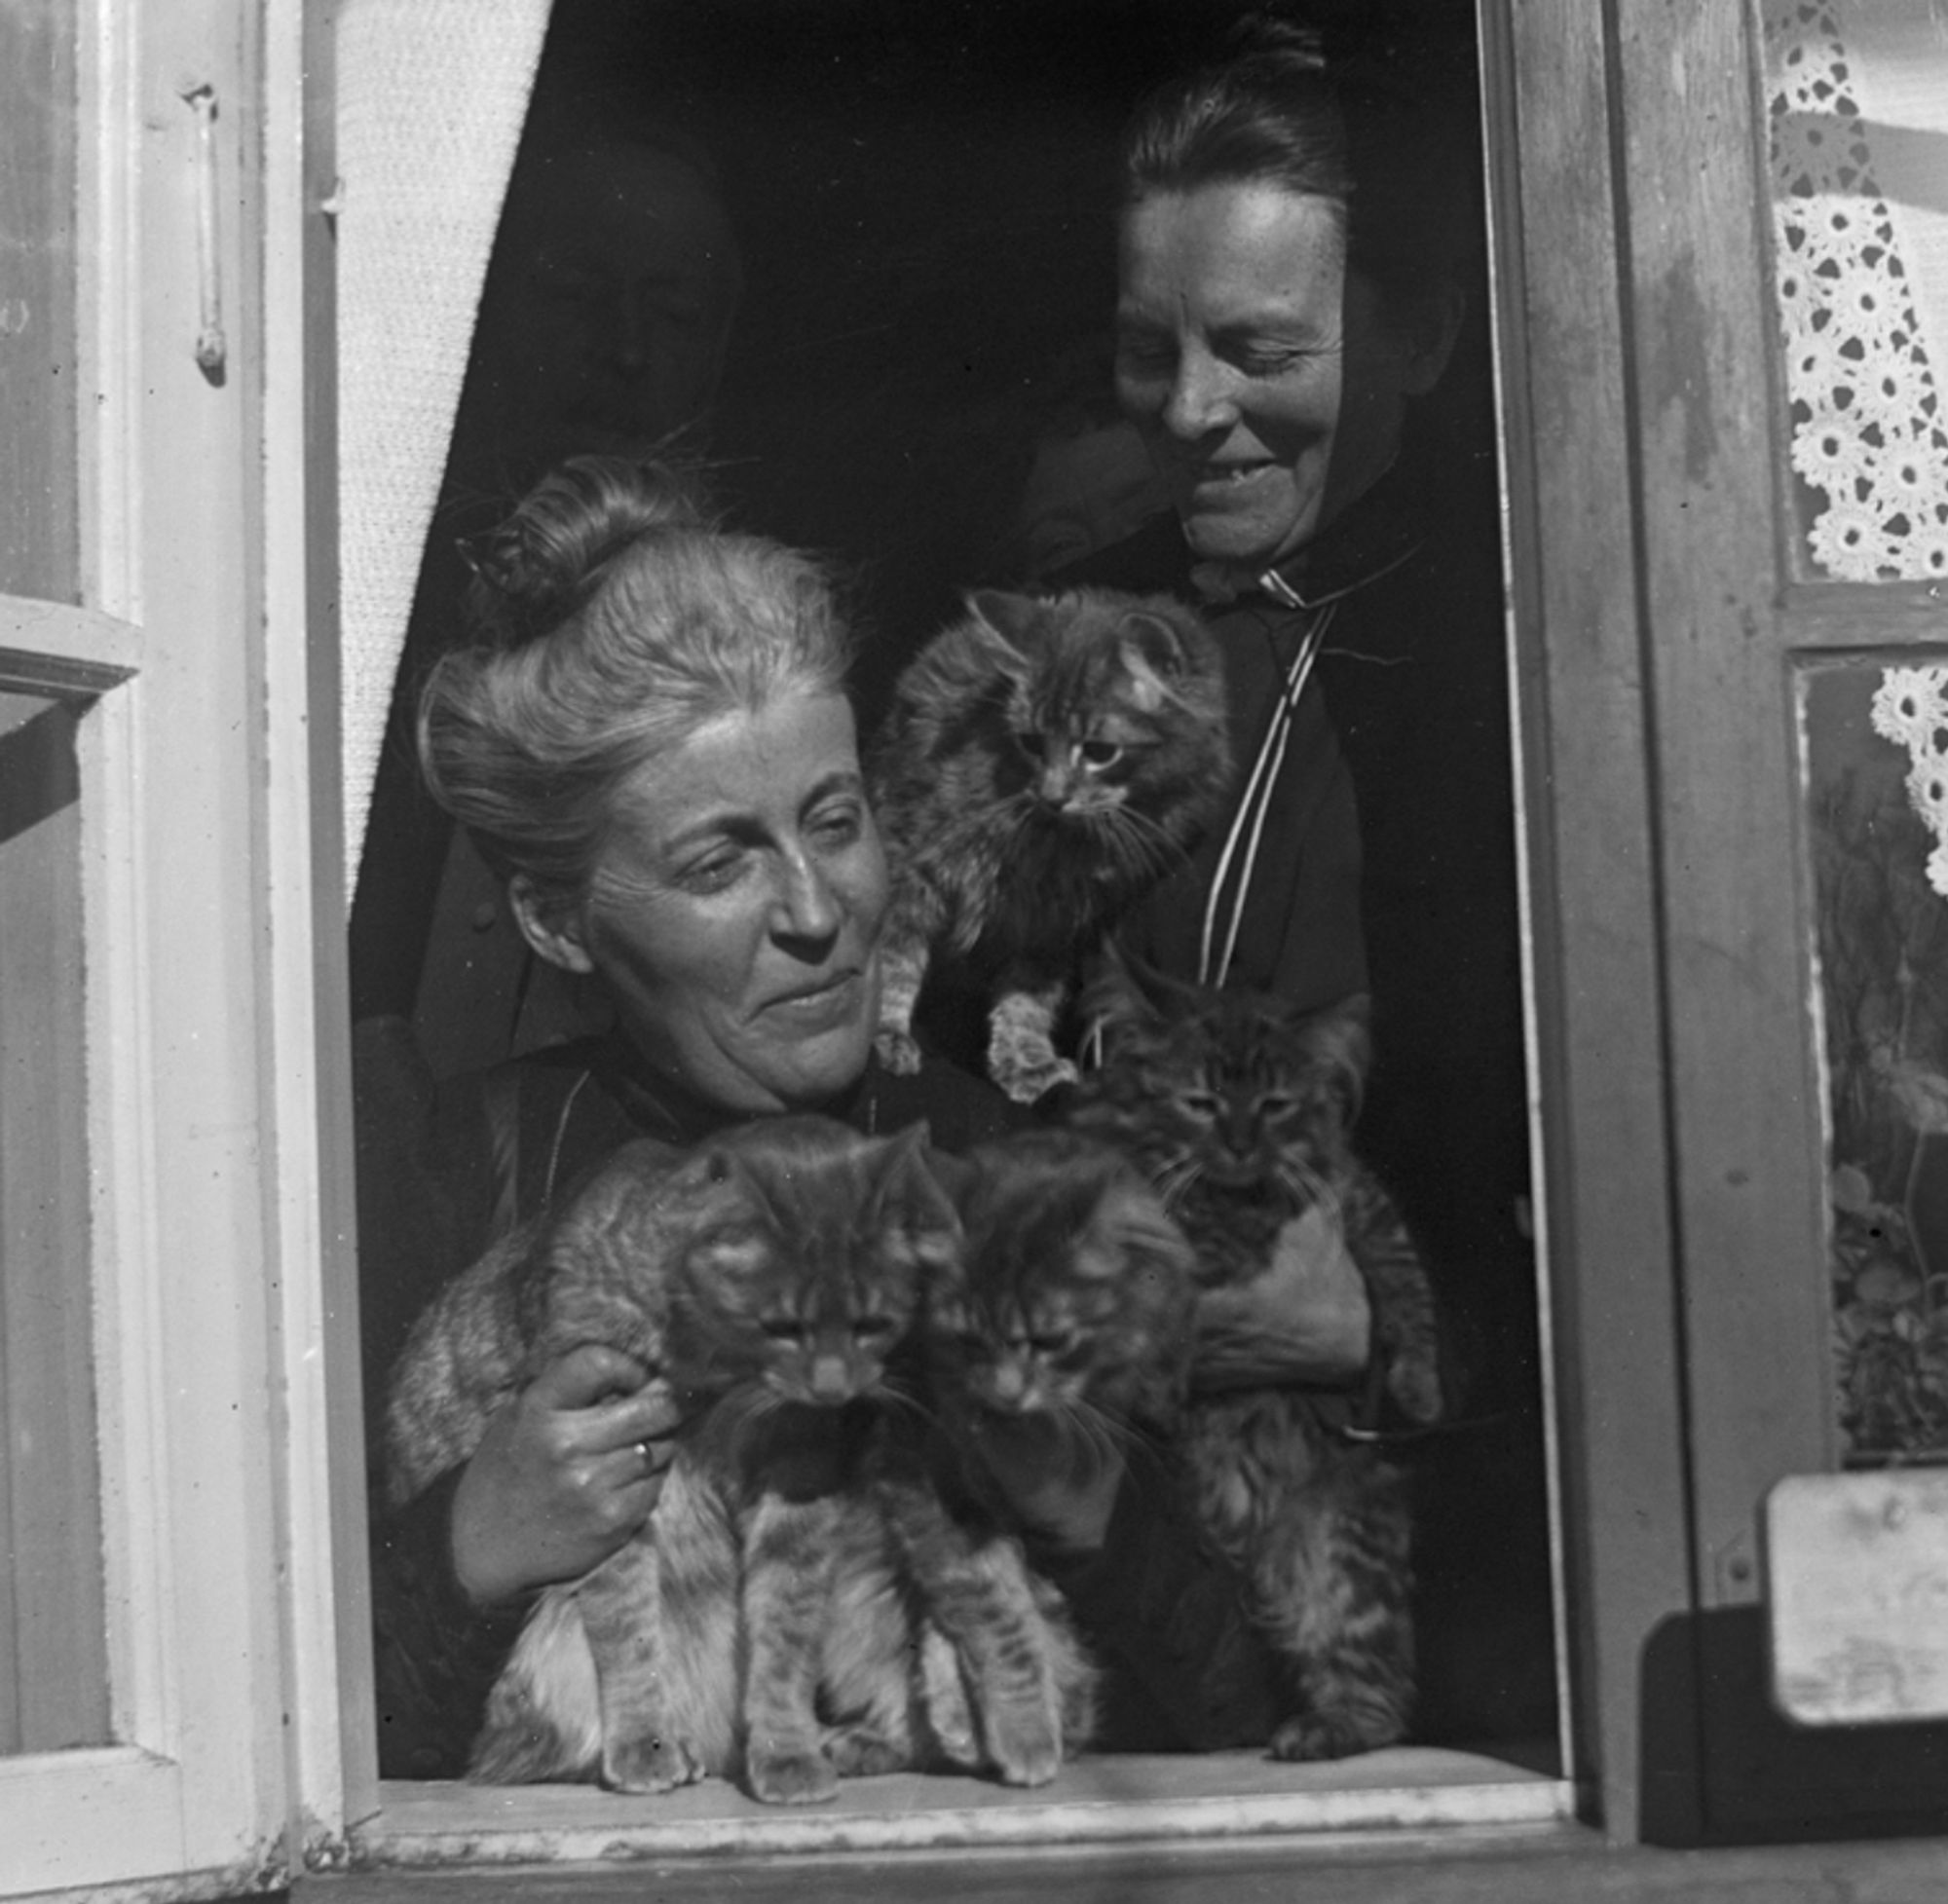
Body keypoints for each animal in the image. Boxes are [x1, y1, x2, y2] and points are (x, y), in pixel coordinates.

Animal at [384, 1113, 1099, 1799]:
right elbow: (629, 1634)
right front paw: (644, 1743)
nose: (837, 1383)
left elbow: (786, 1633)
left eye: (872, 1320)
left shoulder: (804, 1482)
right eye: (783, 1324)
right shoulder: (607, 1492)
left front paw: (787, 1752)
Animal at [873, 587, 1223, 1105]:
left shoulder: (1058, 920)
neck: (1058, 844)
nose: (1052, 795)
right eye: (1033, 742)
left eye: (1099, 751)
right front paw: (884, 1032)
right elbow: (891, 959)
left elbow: (1028, 999)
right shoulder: (908, 861)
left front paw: (1025, 1061)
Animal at [1068, 957, 1449, 1760]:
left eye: (1274, 1105)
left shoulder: (1355, 1201)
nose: (1243, 1144)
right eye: (1202, 1101)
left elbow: (1406, 1286)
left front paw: (1420, 1388)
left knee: (1377, 1694)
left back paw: (1324, 1729)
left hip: (1336, 1554)